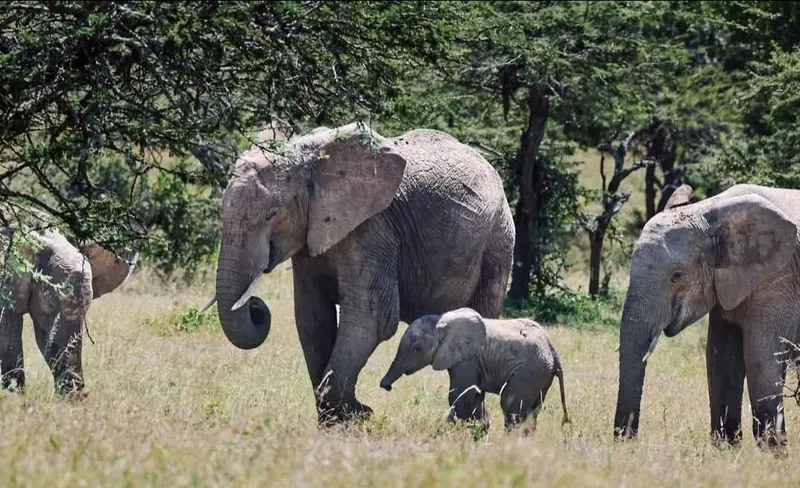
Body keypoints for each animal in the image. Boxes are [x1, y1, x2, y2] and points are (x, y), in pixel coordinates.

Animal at [203, 122, 515, 425]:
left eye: (272, 213)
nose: (256, 306)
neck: (311, 162)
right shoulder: (310, 235)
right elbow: (312, 318)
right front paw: (338, 420)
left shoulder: (372, 228)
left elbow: (372, 317)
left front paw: (356, 416)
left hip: (497, 243)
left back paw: (472, 425)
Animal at [380, 307, 570, 431]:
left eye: (417, 349)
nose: (385, 386)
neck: (441, 322)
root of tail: (554, 351)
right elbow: (475, 396)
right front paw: (479, 430)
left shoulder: (467, 360)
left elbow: (461, 396)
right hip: (540, 375)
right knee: (531, 410)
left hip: (529, 372)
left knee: (511, 404)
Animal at [613, 183, 800, 448]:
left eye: (677, 276)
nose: (626, 440)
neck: (711, 211)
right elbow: (720, 357)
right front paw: (726, 448)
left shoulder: (779, 279)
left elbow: (761, 356)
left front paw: (772, 451)